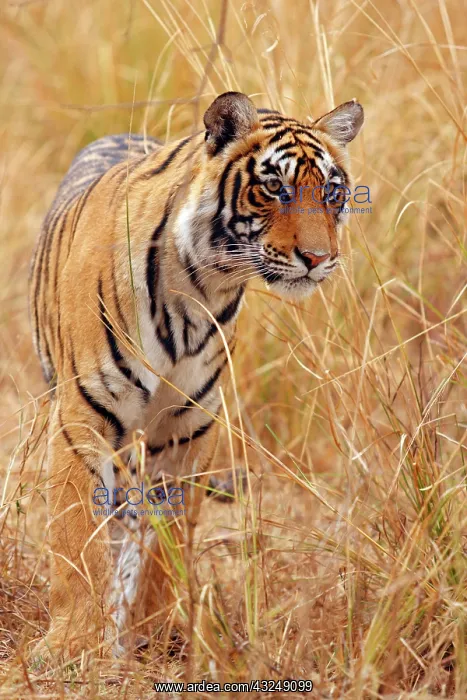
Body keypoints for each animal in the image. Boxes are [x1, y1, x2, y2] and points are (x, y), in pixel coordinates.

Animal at [29, 91, 363, 661]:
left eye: (333, 192)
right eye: (276, 187)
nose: (320, 258)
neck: (200, 284)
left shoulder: (187, 428)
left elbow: (165, 543)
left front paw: (155, 634)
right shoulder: (82, 418)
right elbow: (74, 537)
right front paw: (72, 643)